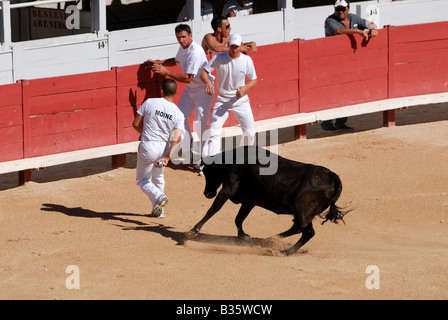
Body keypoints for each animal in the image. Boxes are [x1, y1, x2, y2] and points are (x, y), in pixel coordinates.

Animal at [184, 146, 348, 256]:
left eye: (207, 171)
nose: (207, 193)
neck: (234, 160)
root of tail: (332, 175)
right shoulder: (249, 201)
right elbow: (239, 218)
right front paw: (245, 237)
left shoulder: (227, 190)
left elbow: (213, 210)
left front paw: (192, 231)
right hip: (301, 212)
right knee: (297, 228)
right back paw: (268, 240)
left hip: (303, 211)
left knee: (307, 232)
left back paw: (285, 251)